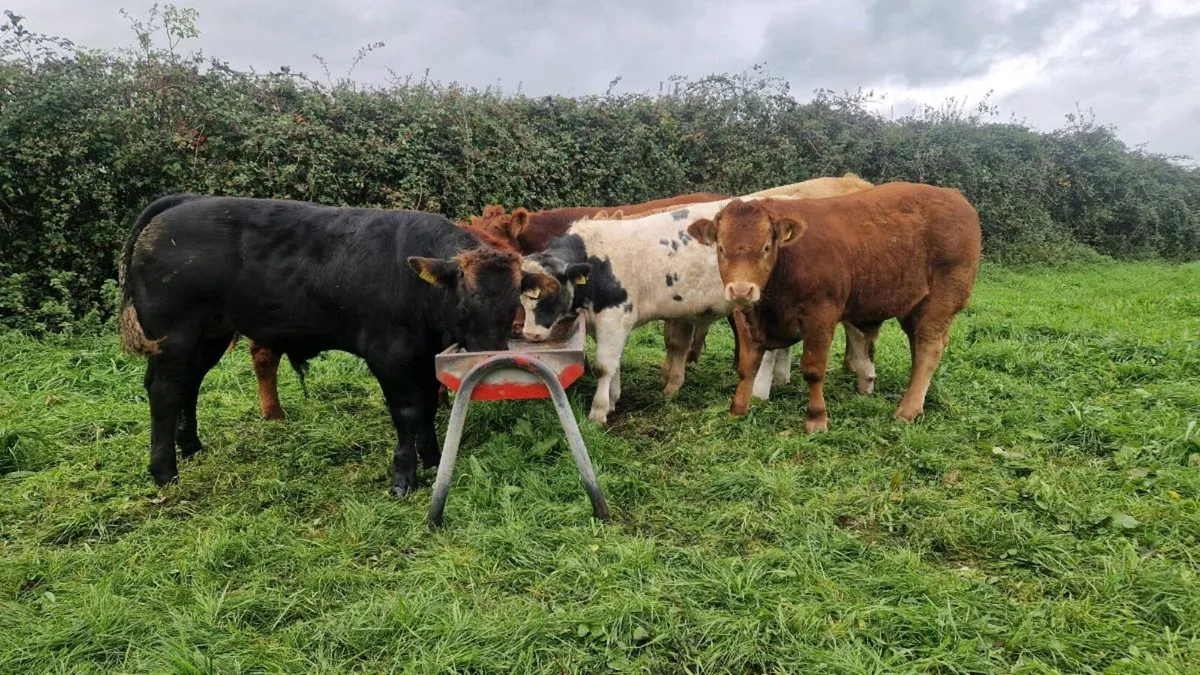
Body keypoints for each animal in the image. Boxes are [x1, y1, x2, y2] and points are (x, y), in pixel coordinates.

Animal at [117, 193, 557, 495]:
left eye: (514, 302)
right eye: (464, 305)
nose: (492, 361)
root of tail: (186, 200)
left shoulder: (423, 357)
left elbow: (429, 407)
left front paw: (432, 457)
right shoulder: (390, 355)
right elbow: (409, 412)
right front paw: (404, 476)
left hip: (209, 334)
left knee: (186, 386)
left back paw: (191, 446)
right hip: (176, 335)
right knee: (165, 391)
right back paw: (164, 471)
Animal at [513, 176, 876, 425]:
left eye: (550, 291)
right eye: (522, 298)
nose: (529, 334)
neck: (597, 258)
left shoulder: (615, 315)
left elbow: (605, 365)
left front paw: (599, 411)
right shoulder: (601, 321)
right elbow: (613, 365)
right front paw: (614, 398)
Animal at [686, 181, 982, 431]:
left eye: (767, 247)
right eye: (721, 248)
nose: (741, 289)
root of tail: (954, 195)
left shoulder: (820, 317)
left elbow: (813, 370)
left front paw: (816, 418)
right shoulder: (746, 317)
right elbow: (747, 366)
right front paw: (737, 410)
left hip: (942, 299)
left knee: (929, 348)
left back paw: (907, 410)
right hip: (913, 304)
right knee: (918, 347)